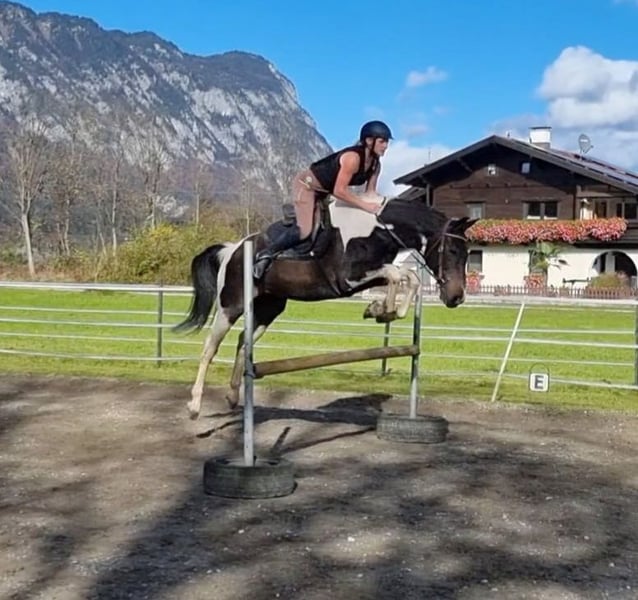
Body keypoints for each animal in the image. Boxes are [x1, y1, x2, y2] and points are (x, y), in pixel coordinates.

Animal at [173, 192, 478, 419]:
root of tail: (232, 249)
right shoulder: (348, 277)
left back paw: (232, 395)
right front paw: (382, 310)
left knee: (242, 342)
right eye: (453, 251)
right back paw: (194, 406)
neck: (378, 230)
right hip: (231, 305)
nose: (456, 298)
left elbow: (408, 277)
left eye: (468, 254)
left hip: (269, 308)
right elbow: (397, 274)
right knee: (209, 349)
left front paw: (380, 310)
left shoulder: (366, 276)